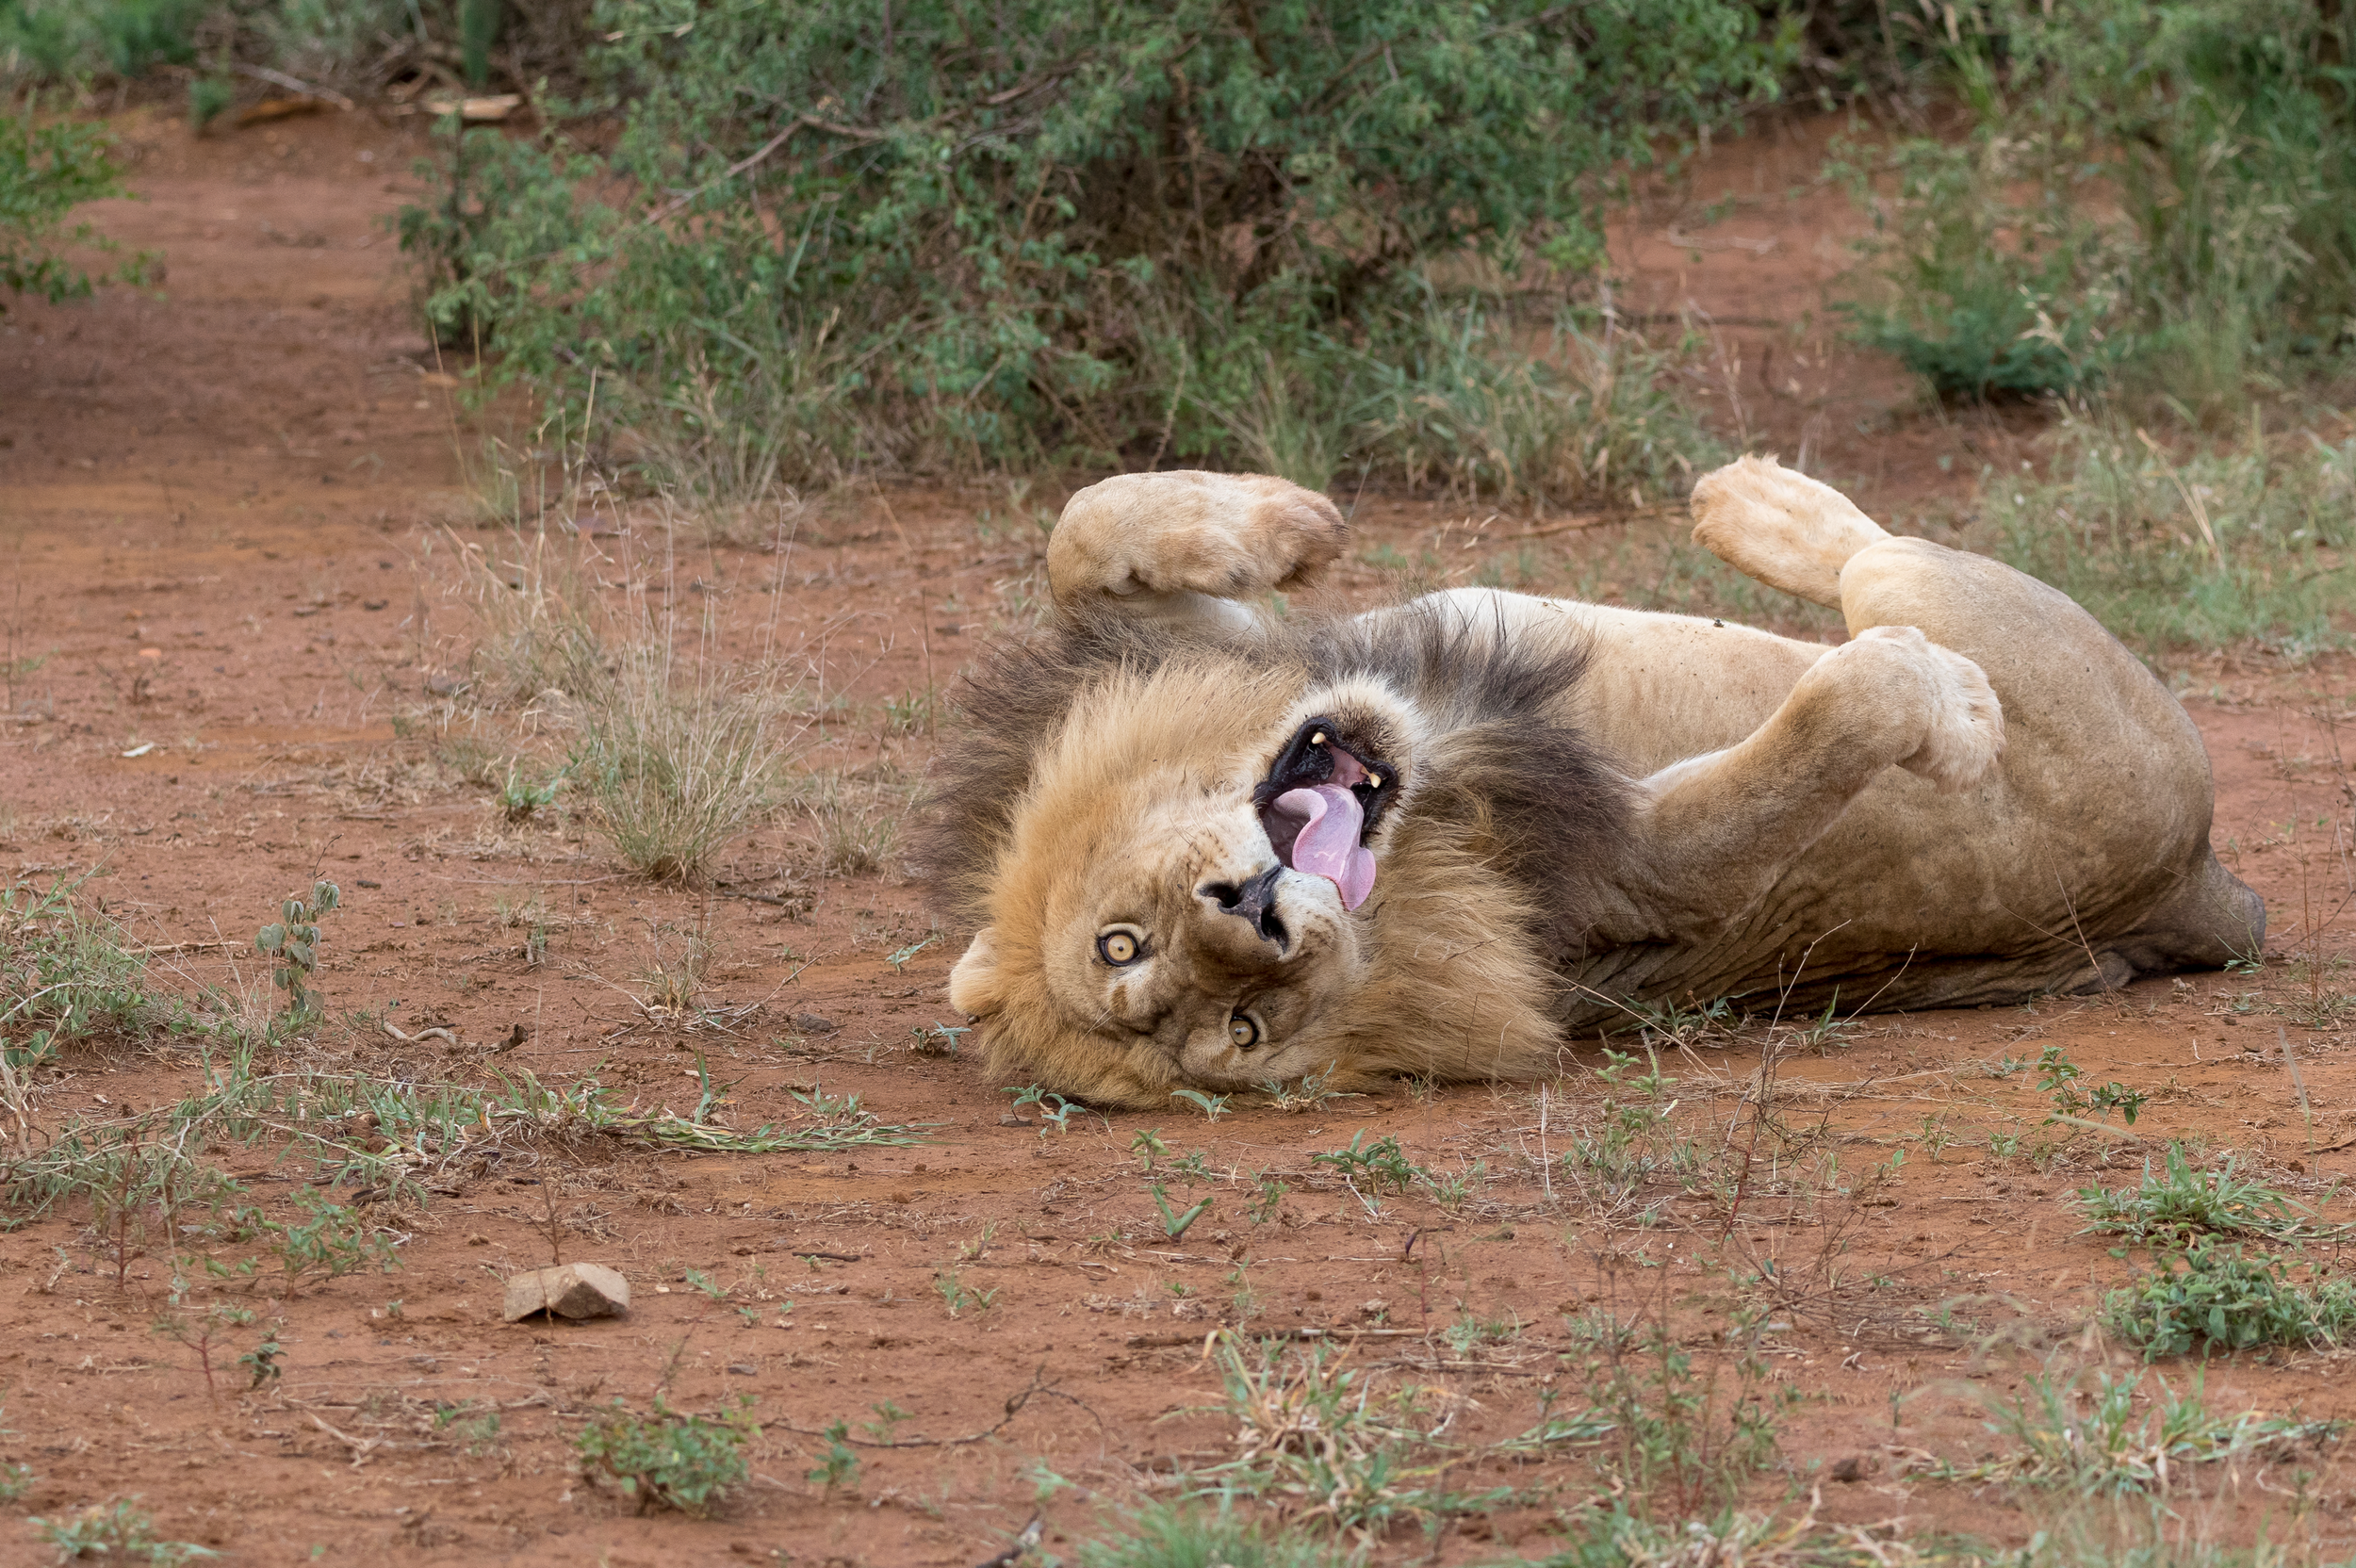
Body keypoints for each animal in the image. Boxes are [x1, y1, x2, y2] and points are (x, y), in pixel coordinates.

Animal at [924, 459, 2263, 1108]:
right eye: (1238, 1029)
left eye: (1121, 940)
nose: (1255, 915)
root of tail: (2201, 884)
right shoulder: (1648, 862)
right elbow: (1824, 729)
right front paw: (1950, 710)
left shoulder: (1274, 651)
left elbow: (1080, 530)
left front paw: (1286, 522)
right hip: (1959, 600)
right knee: (1875, 569)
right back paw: (1773, 515)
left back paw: (1741, 498)